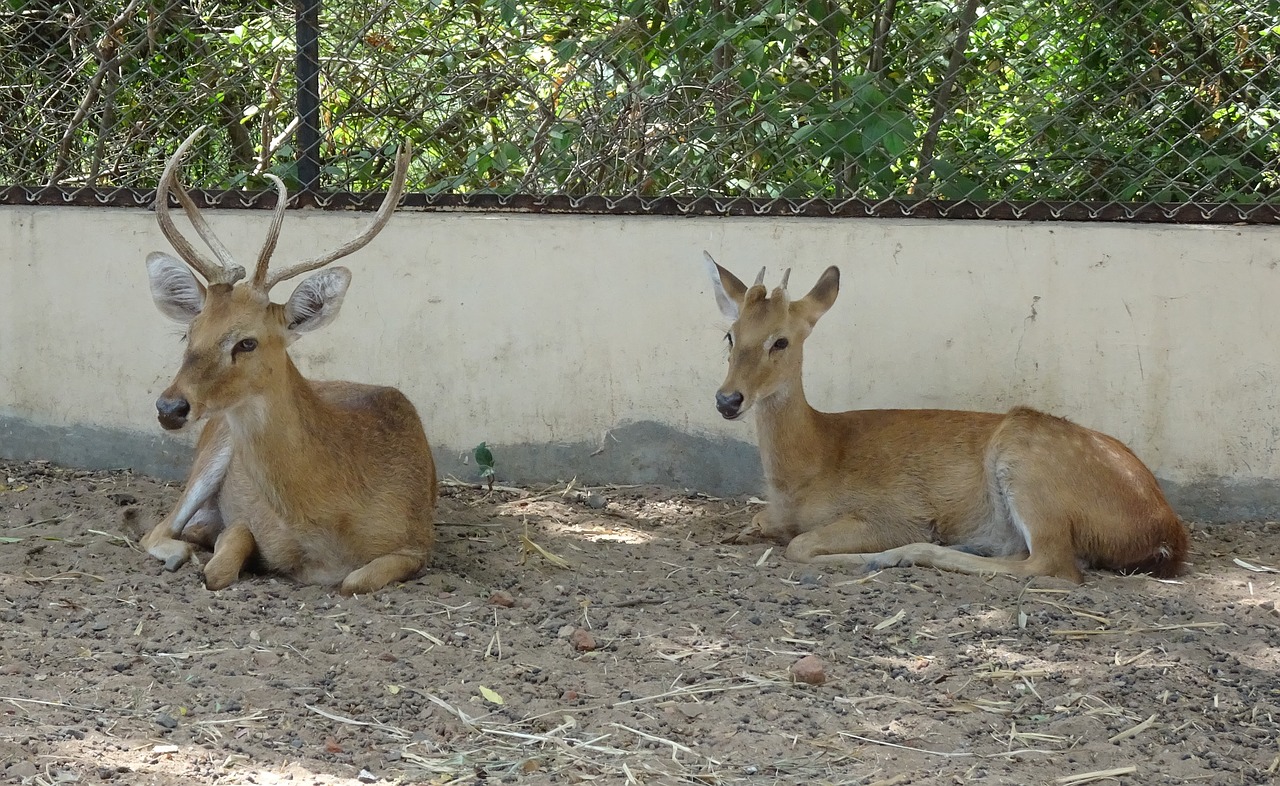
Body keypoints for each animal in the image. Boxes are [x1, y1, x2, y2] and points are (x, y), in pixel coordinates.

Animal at [136, 131, 435, 596]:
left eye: (247, 342)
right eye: (189, 333)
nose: (170, 407)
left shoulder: (418, 541)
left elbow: (354, 581)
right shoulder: (246, 520)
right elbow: (221, 563)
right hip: (212, 451)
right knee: (158, 529)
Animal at [701, 254, 1187, 586]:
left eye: (780, 341)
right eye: (730, 336)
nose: (728, 399)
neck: (810, 467)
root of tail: (1167, 530)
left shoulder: (892, 511)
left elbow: (799, 546)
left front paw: (867, 556)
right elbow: (761, 523)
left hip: (1028, 462)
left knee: (1054, 565)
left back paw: (907, 554)